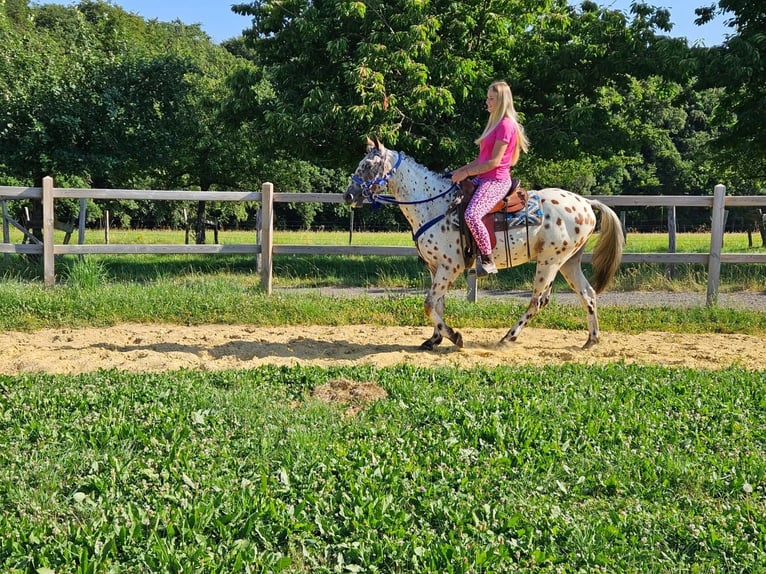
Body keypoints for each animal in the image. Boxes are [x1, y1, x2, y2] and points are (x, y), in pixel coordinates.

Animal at [344, 138, 625, 350]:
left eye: (367, 165)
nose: (348, 195)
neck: (433, 204)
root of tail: (586, 203)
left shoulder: (450, 267)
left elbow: (428, 304)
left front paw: (454, 337)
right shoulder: (436, 267)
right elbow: (437, 303)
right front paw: (434, 339)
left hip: (550, 262)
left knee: (537, 301)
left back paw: (507, 338)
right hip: (568, 262)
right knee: (587, 294)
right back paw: (591, 340)